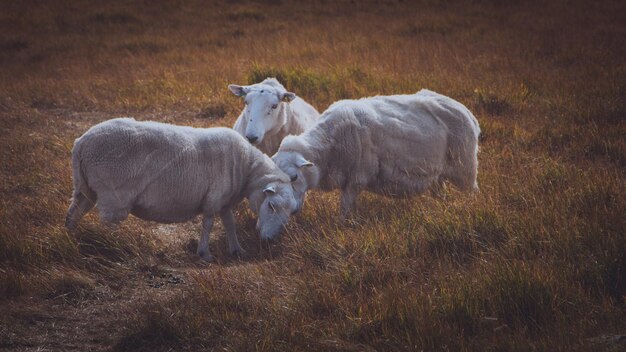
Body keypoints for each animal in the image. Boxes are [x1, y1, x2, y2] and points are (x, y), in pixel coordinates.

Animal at [66, 118, 298, 262]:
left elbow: (230, 225)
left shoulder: (225, 202)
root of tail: (81, 144)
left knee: (73, 213)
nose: (269, 241)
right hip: (113, 194)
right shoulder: (213, 199)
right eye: (271, 205)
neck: (247, 166)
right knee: (107, 225)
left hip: (85, 189)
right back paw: (115, 248)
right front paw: (204, 253)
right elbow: (208, 224)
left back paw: (70, 238)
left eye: (290, 213)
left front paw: (237, 250)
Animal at [270, 89, 480, 216]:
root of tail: (467, 112)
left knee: (472, 193)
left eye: (294, 177)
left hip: (465, 168)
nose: (291, 211)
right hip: (439, 176)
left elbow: (344, 209)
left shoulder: (357, 178)